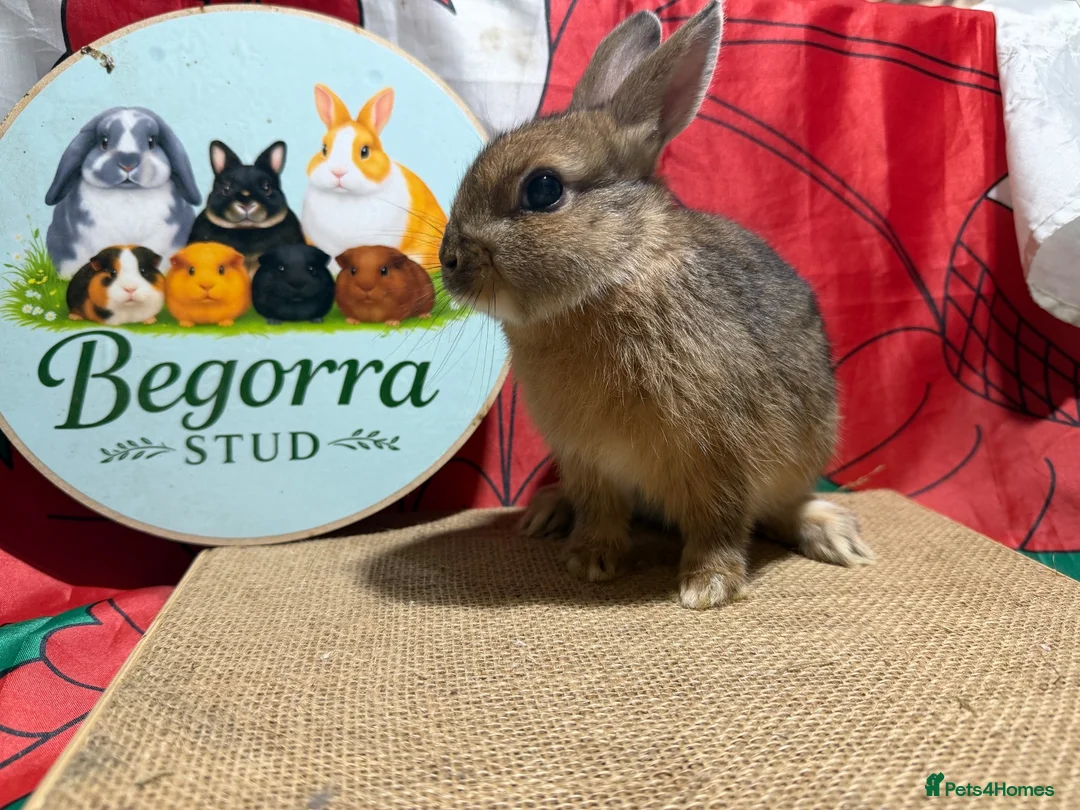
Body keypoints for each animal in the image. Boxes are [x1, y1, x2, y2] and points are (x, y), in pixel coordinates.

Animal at [437, 2, 874, 610]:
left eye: (543, 189)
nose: (448, 261)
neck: (611, 281)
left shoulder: (717, 455)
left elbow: (719, 523)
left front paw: (707, 587)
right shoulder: (589, 461)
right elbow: (600, 513)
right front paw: (588, 560)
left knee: (783, 505)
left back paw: (833, 534)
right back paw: (546, 512)